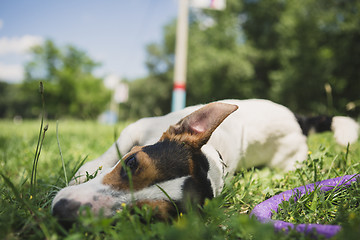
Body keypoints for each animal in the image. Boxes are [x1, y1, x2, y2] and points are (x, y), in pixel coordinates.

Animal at [50, 98, 358, 224]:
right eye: (131, 163)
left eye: (145, 215)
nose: (62, 211)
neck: (213, 158)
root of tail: (299, 120)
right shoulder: (135, 130)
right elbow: (107, 155)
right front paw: (82, 172)